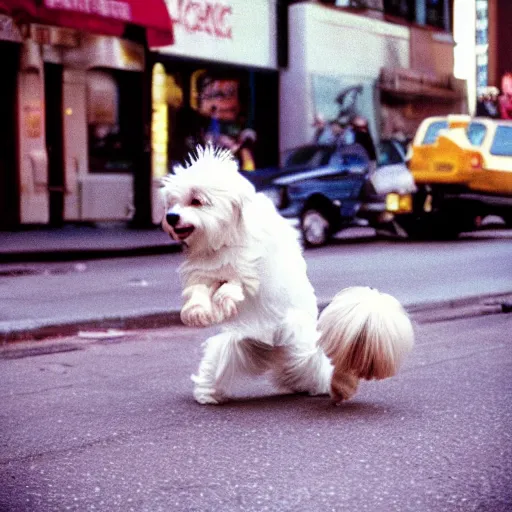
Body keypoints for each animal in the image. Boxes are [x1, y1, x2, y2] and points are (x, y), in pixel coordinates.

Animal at [162, 145, 414, 404]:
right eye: (173, 202)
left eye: (197, 201)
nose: (171, 217)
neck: (226, 238)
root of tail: (274, 347)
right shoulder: (207, 272)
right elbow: (201, 291)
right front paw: (198, 311)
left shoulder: (250, 269)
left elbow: (238, 282)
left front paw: (225, 299)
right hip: (239, 346)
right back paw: (208, 392)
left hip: (299, 342)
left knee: (321, 366)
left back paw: (339, 385)